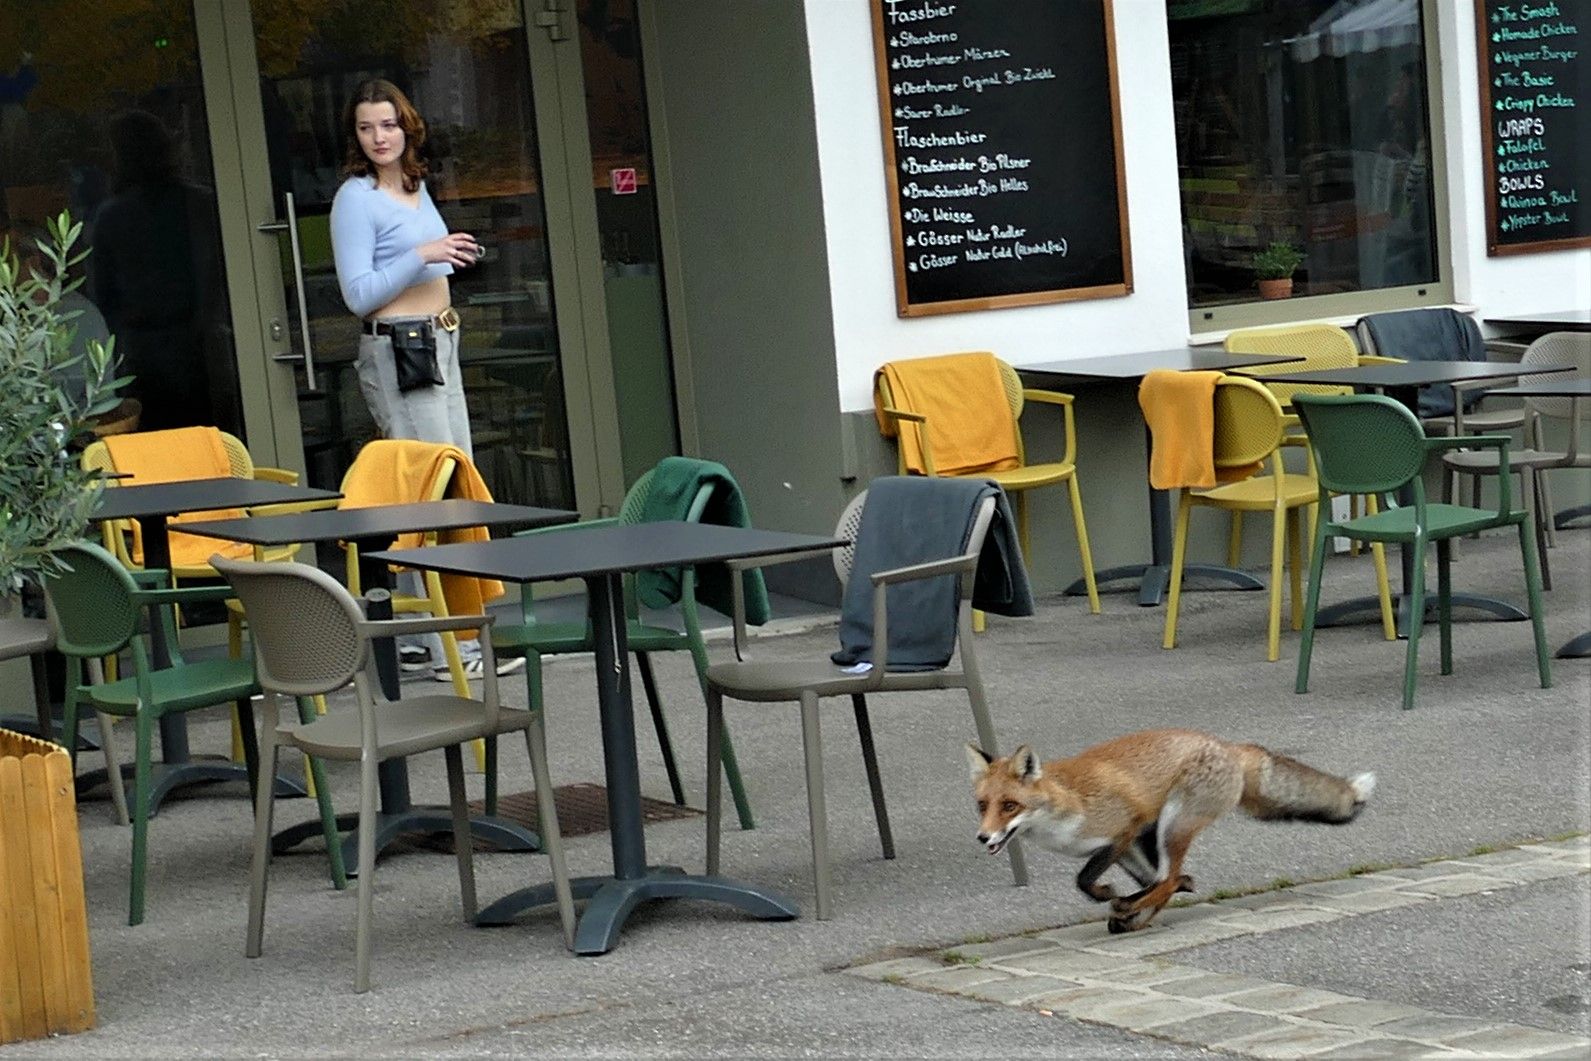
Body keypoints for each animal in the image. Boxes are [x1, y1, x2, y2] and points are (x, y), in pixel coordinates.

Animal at [966, 728, 1375, 933]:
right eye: (983, 806)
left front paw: (1107, 894)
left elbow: (1083, 879)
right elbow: (1125, 881)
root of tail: (1229, 746)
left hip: (1173, 825)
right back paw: (1135, 913)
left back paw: (1129, 908)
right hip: (1157, 835)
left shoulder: (1125, 830)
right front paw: (1120, 901)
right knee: (1168, 879)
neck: (1065, 806)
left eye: (1010, 806)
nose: (983, 837)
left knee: (1167, 879)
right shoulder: (1126, 844)